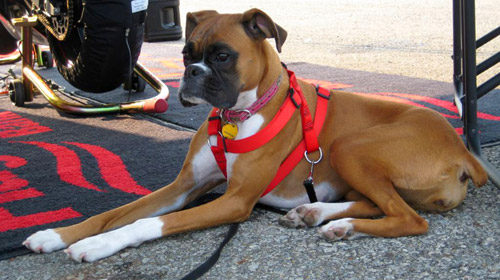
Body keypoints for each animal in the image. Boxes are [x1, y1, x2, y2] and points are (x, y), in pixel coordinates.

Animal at [24, 9, 488, 262]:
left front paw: (100, 245)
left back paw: (338, 225)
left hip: (348, 146)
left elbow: (147, 222)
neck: (239, 114)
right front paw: (57, 235)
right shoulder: (184, 187)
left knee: (408, 218)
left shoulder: (234, 200)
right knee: (380, 204)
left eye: (222, 57)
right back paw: (317, 215)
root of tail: (464, 152)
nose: (191, 74)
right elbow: (115, 212)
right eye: (186, 54)